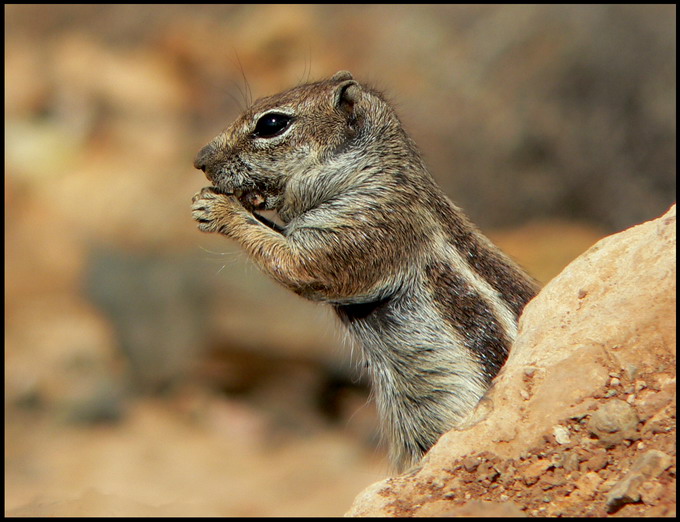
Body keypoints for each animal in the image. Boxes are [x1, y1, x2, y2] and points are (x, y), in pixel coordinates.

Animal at [190, 70, 536, 472]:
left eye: (271, 124)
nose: (199, 160)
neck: (373, 171)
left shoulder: (369, 226)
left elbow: (299, 266)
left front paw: (218, 208)